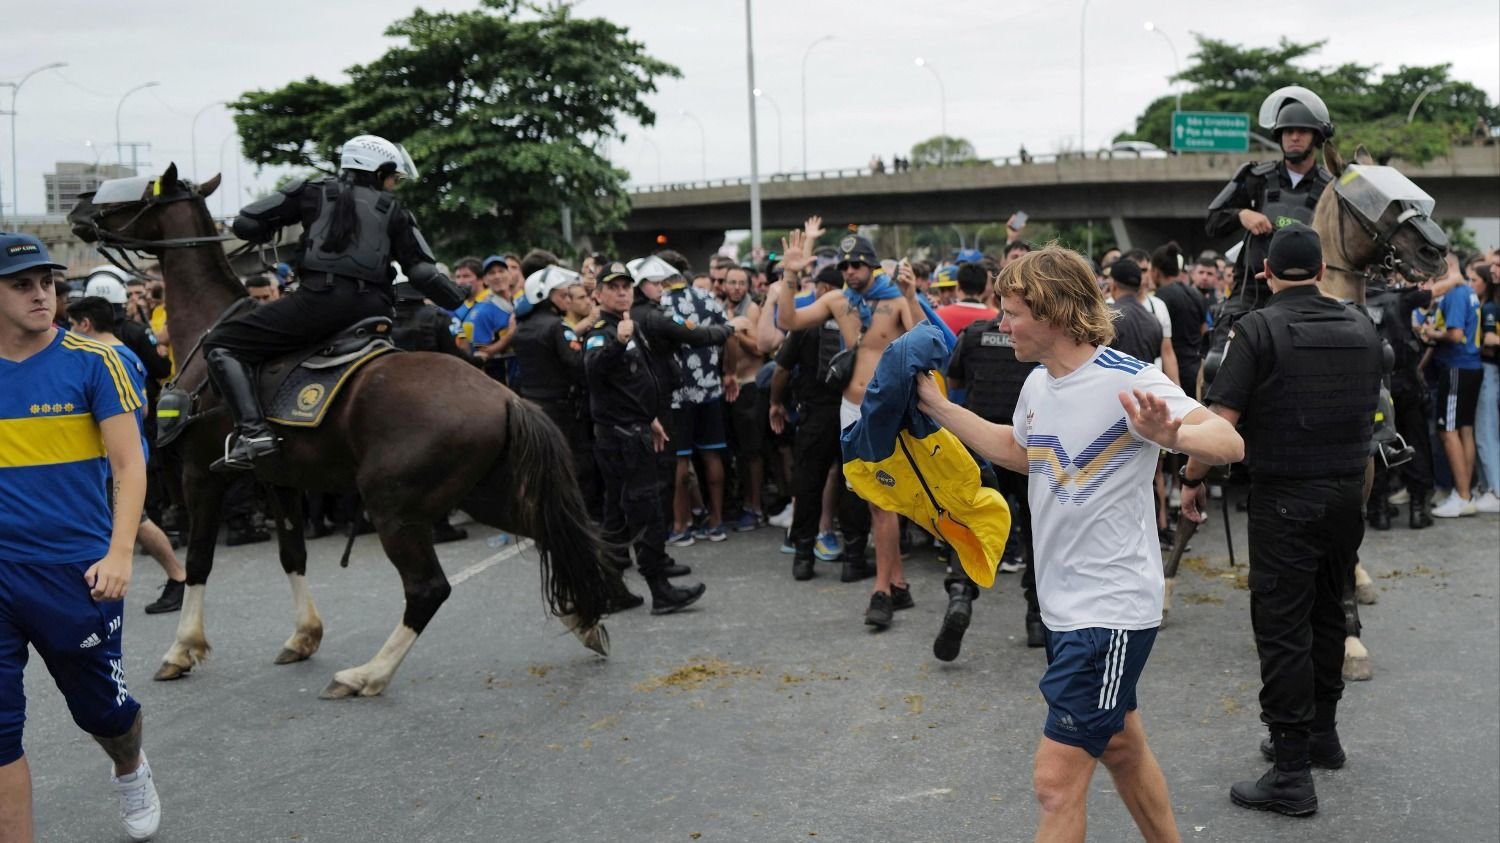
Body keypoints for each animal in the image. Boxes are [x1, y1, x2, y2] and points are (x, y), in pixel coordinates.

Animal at [67, 162, 618, 696]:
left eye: (134, 194)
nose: (77, 211)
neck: (204, 331)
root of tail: (504, 396)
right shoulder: (279, 478)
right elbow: (292, 554)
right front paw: (304, 635)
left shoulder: (202, 473)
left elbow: (200, 561)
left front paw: (183, 648)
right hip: (483, 491)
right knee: (552, 532)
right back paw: (585, 619)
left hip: (394, 505)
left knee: (428, 588)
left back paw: (367, 674)